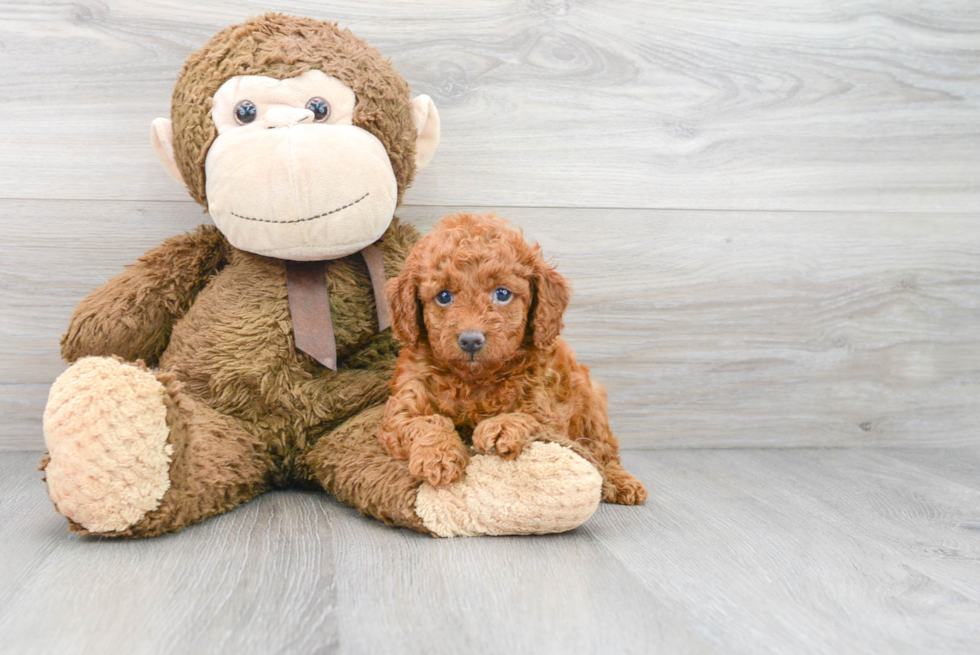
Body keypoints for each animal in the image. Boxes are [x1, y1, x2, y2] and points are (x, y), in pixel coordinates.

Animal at [378, 213, 648, 504]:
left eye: (502, 294)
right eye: (443, 296)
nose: (470, 340)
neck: (475, 380)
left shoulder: (548, 410)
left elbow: (528, 417)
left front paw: (500, 428)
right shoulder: (403, 406)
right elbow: (425, 421)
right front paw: (438, 457)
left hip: (591, 404)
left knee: (603, 449)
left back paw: (622, 482)